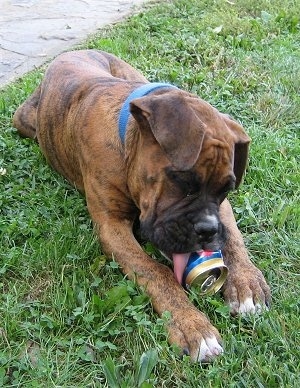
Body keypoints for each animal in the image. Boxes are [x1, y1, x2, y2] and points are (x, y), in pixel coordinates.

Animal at [12, 50, 270, 362]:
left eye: (226, 190)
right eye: (182, 180)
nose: (207, 231)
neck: (126, 139)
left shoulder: (223, 210)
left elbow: (233, 237)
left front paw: (246, 283)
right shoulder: (112, 228)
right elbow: (156, 272)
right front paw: (192, 326)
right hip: (22, 120)